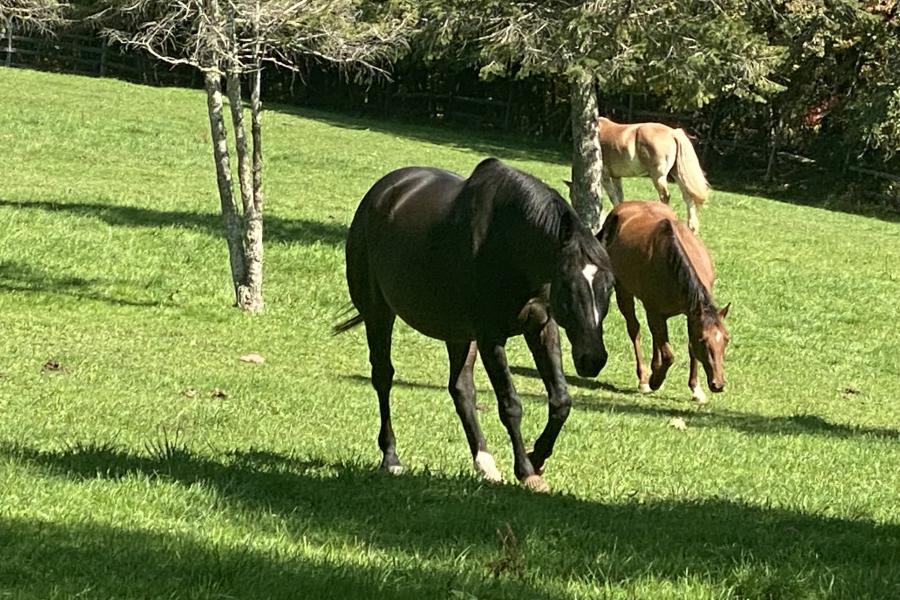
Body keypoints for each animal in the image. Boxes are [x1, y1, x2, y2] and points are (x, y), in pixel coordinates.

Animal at [334, 158, 616, 492]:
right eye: (569, 285)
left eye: (609, 286)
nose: (593, 359)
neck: (509, 244)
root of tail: (381, 193)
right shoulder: (490, 337)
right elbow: (510, 405)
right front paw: (526, 470)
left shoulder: (541, 327)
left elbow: (561, 400)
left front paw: (537, 457)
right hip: (379, 314)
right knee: (383, 377)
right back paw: (391, 458)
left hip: (457, 333)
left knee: (461, 389)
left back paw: (485, 464)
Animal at [596, 202, 732, 404]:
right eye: (703, 340)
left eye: (726, 339)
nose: (718, 384)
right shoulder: (654, 311)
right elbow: (669, 354)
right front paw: (655, 380)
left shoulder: (691, 314)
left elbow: (687, 347)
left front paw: (696, 389)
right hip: (623, 291)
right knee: (634, 329)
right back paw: (644, 378)